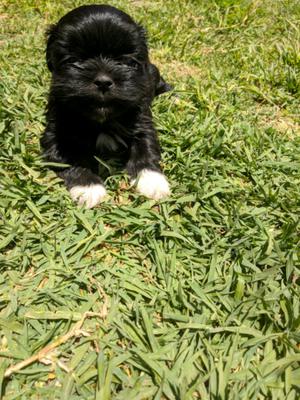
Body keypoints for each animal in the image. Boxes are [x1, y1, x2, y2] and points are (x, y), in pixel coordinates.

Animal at [41, 3, 171, 209]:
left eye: (125, 61)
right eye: (74, 60)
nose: (103, 81)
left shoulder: (142, 121)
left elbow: (146, 148)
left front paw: (152, 181)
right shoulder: (56, 134)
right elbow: (70, 157)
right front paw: (88, 187)